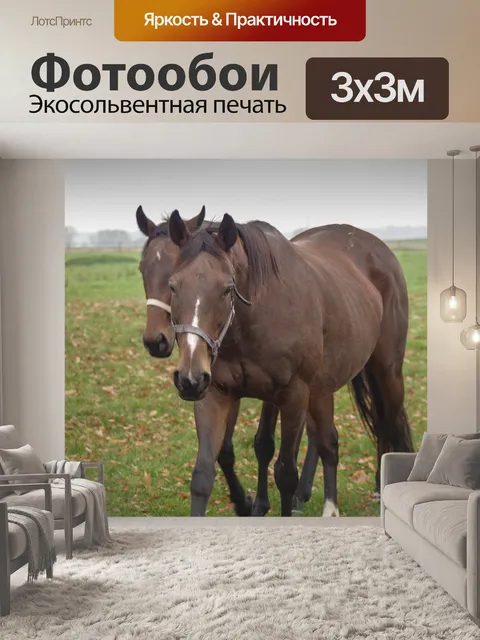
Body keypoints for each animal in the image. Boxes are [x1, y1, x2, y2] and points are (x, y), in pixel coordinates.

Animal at [137, 205, 323, 516]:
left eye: (171, 270)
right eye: (143, 269)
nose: (155, 341)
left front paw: (251, 501)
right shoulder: (223, 390)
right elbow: (225, 452)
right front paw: (244, 501)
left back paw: (300, 492)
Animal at [166, 211, 414, 516]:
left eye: (227, 289)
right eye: (173, 286)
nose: (189, 378)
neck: (259, 312)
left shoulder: (293, 396)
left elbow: (285, 473)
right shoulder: (216, 394)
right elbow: (203, 474)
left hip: (387, 372)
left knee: (390, 424)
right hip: (323, 388)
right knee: (331, 439)